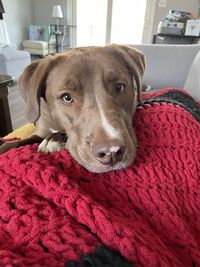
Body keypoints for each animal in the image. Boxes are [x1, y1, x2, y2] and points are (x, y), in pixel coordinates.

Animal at [0, 44, 145, 174]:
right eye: (66, 97)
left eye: (120, 87)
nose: (111, 152)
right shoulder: (40, 131)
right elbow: (13, 143)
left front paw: (52, 140)